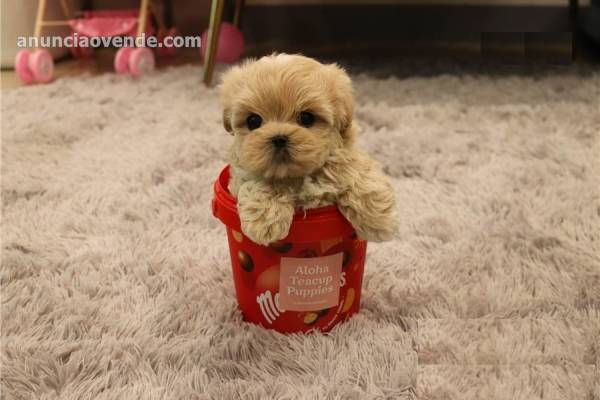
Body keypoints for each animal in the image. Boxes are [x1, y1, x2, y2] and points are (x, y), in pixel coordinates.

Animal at [220, 54, 398, 245]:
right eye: (253, 121)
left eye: (307, 118)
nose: (279, 138)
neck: (297, 176)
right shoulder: (242, 174)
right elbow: (259, 181)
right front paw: (264, 222)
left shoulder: (347, 155)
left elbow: (359, 174)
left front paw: (380, 220)